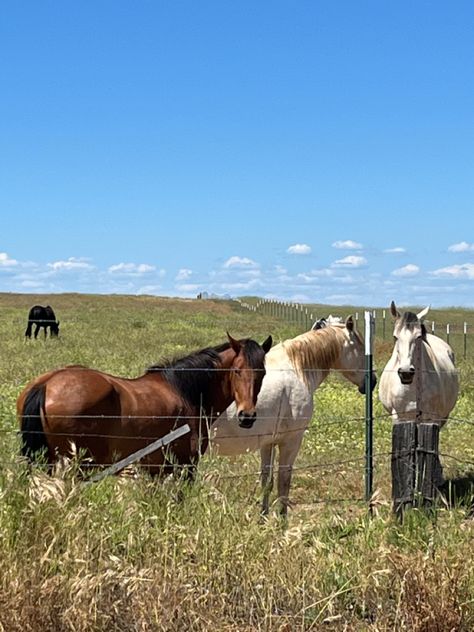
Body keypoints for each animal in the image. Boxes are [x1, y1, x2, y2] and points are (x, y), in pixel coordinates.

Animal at [17, 334, 270, 476]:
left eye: (263, 372)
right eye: (237, 370)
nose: (247, 416)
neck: (185, 391)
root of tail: (47, 384)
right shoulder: (186, 465)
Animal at [209, 318, 376, 516]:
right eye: (360, 345)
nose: (372, 381)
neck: (297, 370)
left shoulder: (268, 443)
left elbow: (267, 482)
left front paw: (263, 517)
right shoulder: (291, 441)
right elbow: (284, 483)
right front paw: (282, 518)